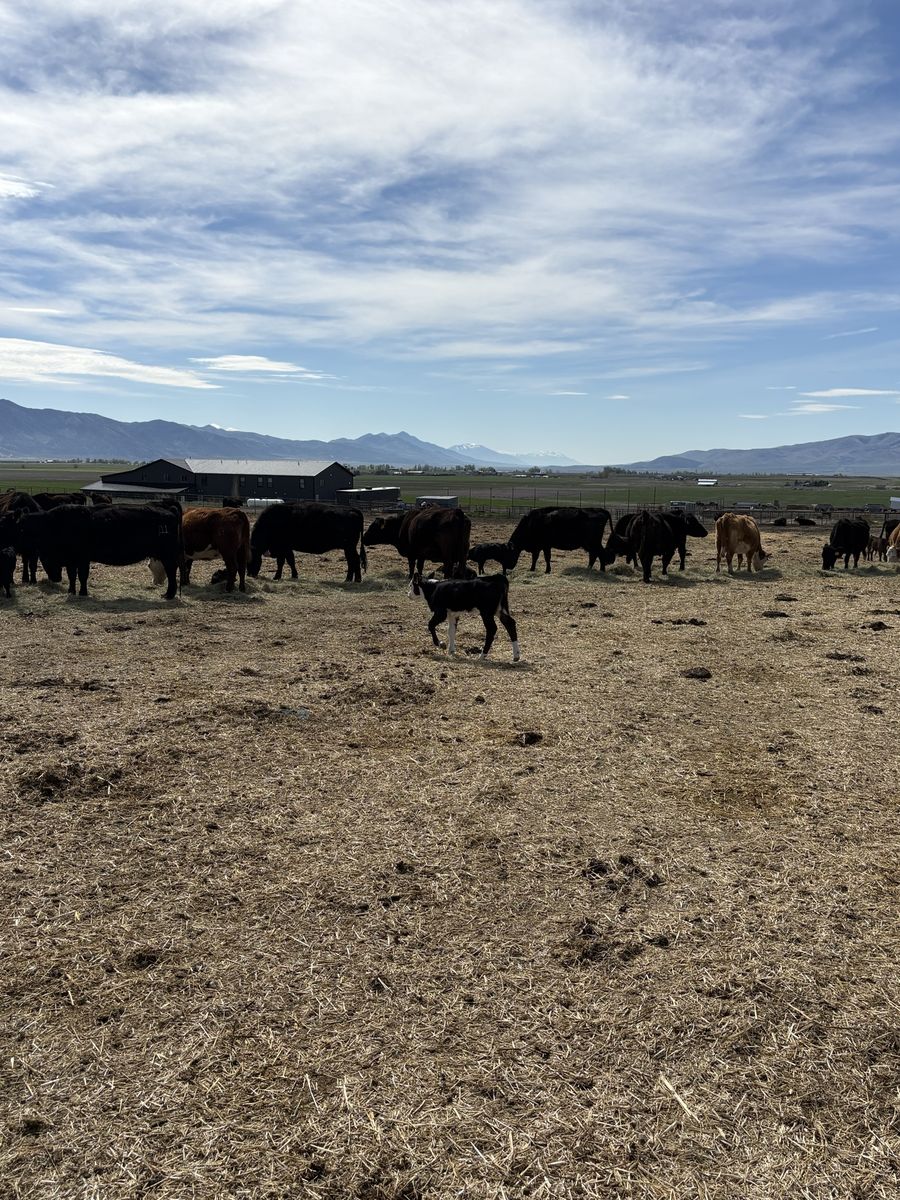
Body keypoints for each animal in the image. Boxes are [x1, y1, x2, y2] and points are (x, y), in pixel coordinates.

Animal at [19, 503, 183, 598]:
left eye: (44, 558)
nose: (55, 579)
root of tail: (169, 511)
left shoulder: (83, 558)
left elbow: (82, 576)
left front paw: (83, 593)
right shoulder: (72, 560)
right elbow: (72, 576)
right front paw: (71, 591)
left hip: (167, 555)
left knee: (171, 571)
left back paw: (169, 594)